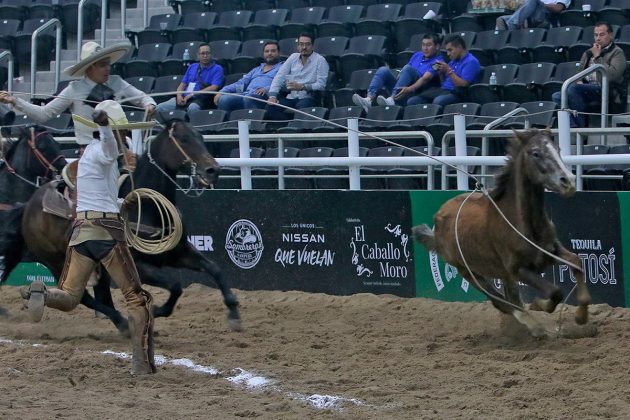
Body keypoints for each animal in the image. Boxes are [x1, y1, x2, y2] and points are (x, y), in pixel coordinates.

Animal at [414, 130, 592, 336]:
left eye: (558, 149)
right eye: (535, 153)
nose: (568, 181)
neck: (520, 221)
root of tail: (439, 217)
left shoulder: (551, 252)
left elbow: (576, 263)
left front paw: (581, 317)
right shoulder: (517, 269)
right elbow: (555, 291)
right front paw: (538, 306)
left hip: (500, 273)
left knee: (510, 298)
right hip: (467, 270)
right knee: (502, 302)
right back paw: (534, 326)